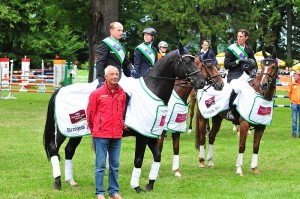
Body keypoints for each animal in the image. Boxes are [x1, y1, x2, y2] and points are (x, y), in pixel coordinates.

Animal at [42, 42, 206, 190]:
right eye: (187, 61)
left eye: (195, 60)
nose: (202, 82)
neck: (153, 90)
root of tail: (59, 90)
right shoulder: (142, 135)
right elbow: (138, 159)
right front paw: (136, 187)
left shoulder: (151, 133)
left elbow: (157, 156)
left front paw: (150, 185)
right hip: (63, 130)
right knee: (53, 148)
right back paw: (57, 183)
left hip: (77, 132)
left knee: (69, 150)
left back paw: (71, 181)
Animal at [196, 48, 278, 176]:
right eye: (263, 65)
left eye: (273, 66)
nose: (263, 84)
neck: (259, 92)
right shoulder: (244, 124)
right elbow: (242, 146)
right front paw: (239, 169)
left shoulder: (261, 126)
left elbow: (256, 146)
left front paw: (255, 168)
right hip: (202, 117)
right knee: (202, 137)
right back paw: (201, 161)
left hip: (217, 119)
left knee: (211, 136)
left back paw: (210, 162)